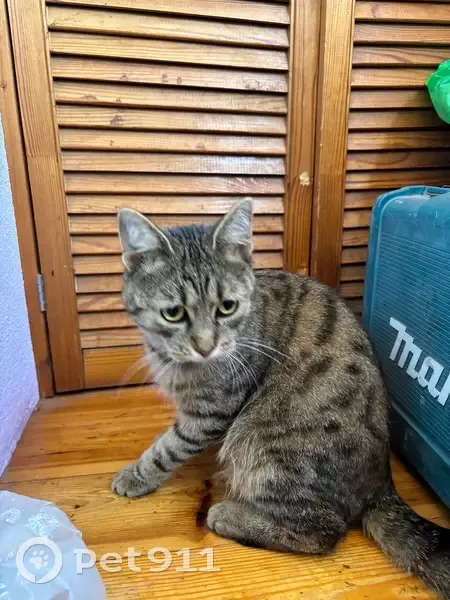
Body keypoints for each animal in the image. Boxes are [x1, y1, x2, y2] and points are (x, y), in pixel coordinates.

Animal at [113, 199, 450, 599]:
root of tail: (382, 483)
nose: (206, 347)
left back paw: (230, 515)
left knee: (323, 531)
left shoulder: (212, 412)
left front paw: (138, 475)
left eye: (227, 307)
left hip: (264, 446)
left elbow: (169, 447)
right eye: (174, 313)